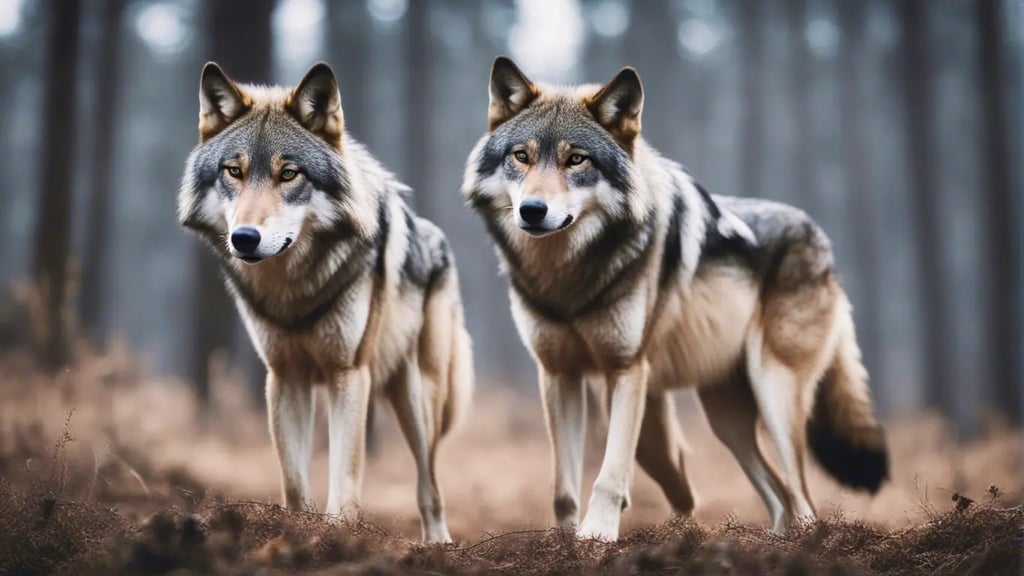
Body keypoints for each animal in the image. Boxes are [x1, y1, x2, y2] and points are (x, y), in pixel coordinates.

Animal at [178, 62, 473, 543]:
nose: (245, 238)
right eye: (233, 171)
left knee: (429, 483)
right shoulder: (285, 376)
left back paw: (438, 544)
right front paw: (295, 530)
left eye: (289, 174)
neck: (293, 290)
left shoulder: (346, 373)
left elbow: (344, 474)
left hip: (416, 396)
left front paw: (337, 535)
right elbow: (295, 480)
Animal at [462, 57, 889, 541]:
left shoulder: (627, 370)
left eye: (576, 160)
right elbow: (564, 488)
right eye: (522, 156)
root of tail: (821, 239)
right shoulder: (558, 374)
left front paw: (597, 537)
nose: (532, 211)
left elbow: (610, 474)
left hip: (773, 392)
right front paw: (564, 542)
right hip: (724, 422)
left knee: (801, 497)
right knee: (776, 493)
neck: (566, 276)